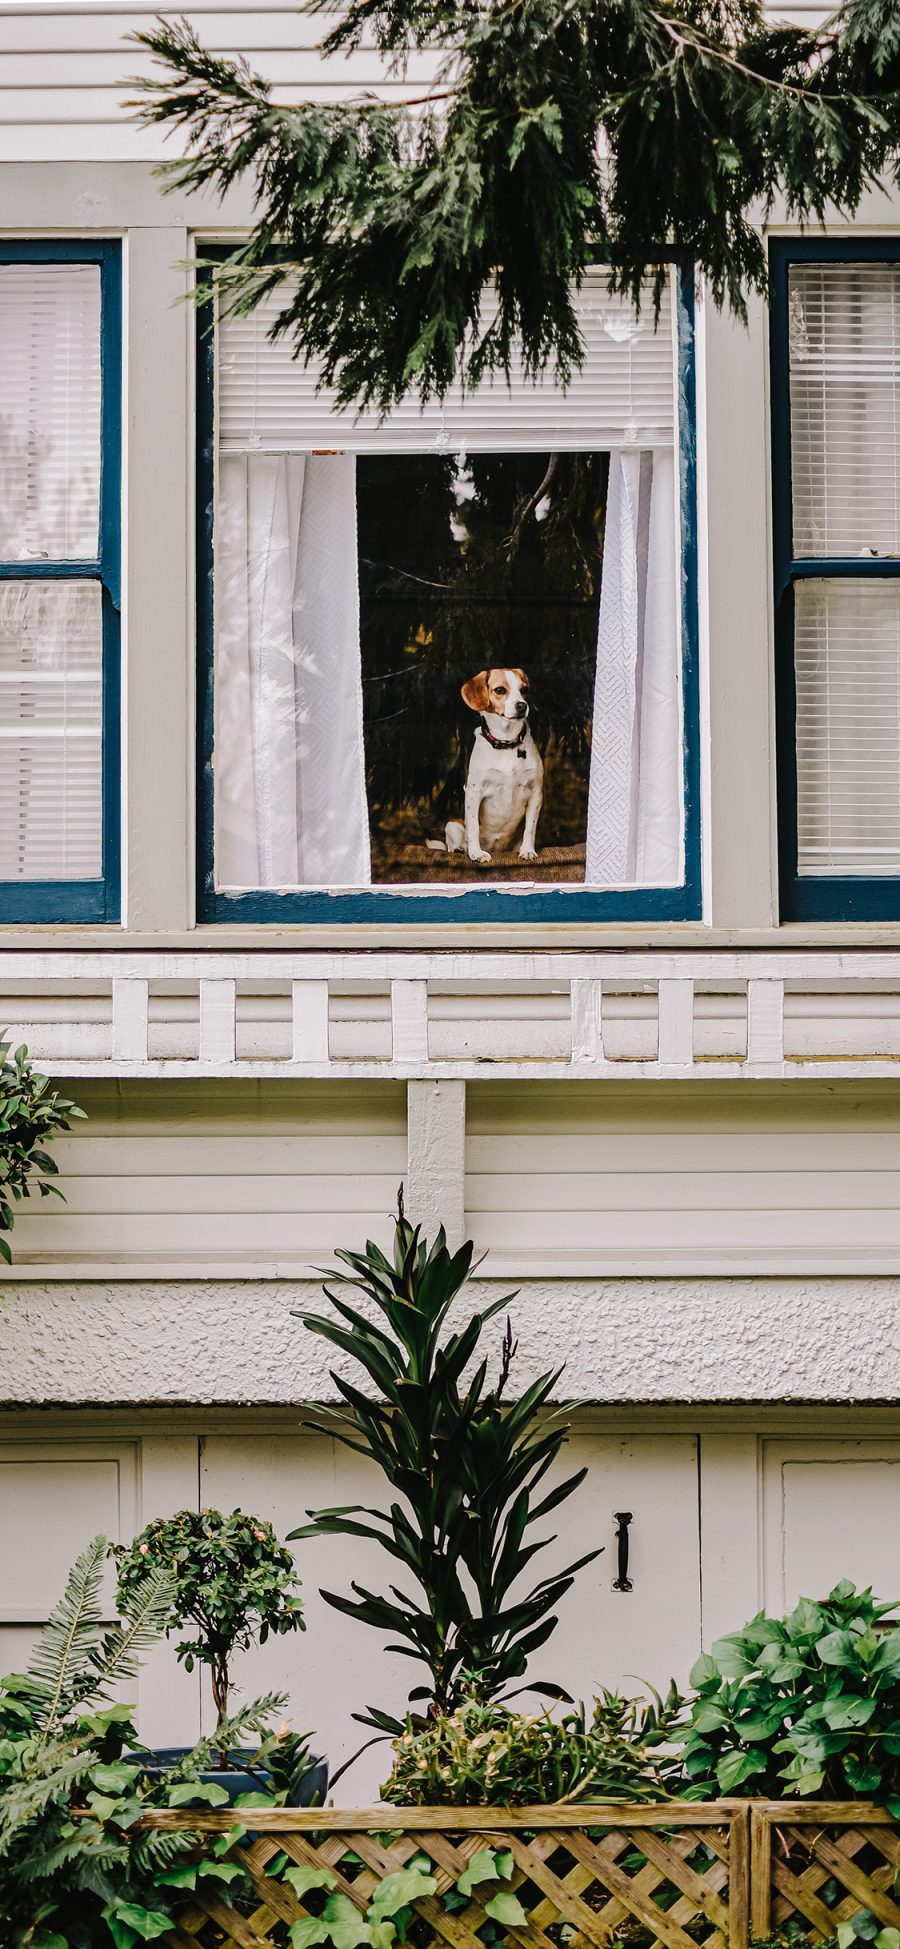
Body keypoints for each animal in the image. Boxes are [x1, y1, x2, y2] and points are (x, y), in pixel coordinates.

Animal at [442, 670, 541, 861]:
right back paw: (459, 849)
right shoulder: (474, 792)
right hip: (452, 824)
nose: (522, 705)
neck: (506, 742)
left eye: (524, 689)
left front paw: (527, 850)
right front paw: (476, 853)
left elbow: (530, 828)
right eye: (500, 690)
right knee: (454, 842)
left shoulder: (536, 792)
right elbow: (473, 827)